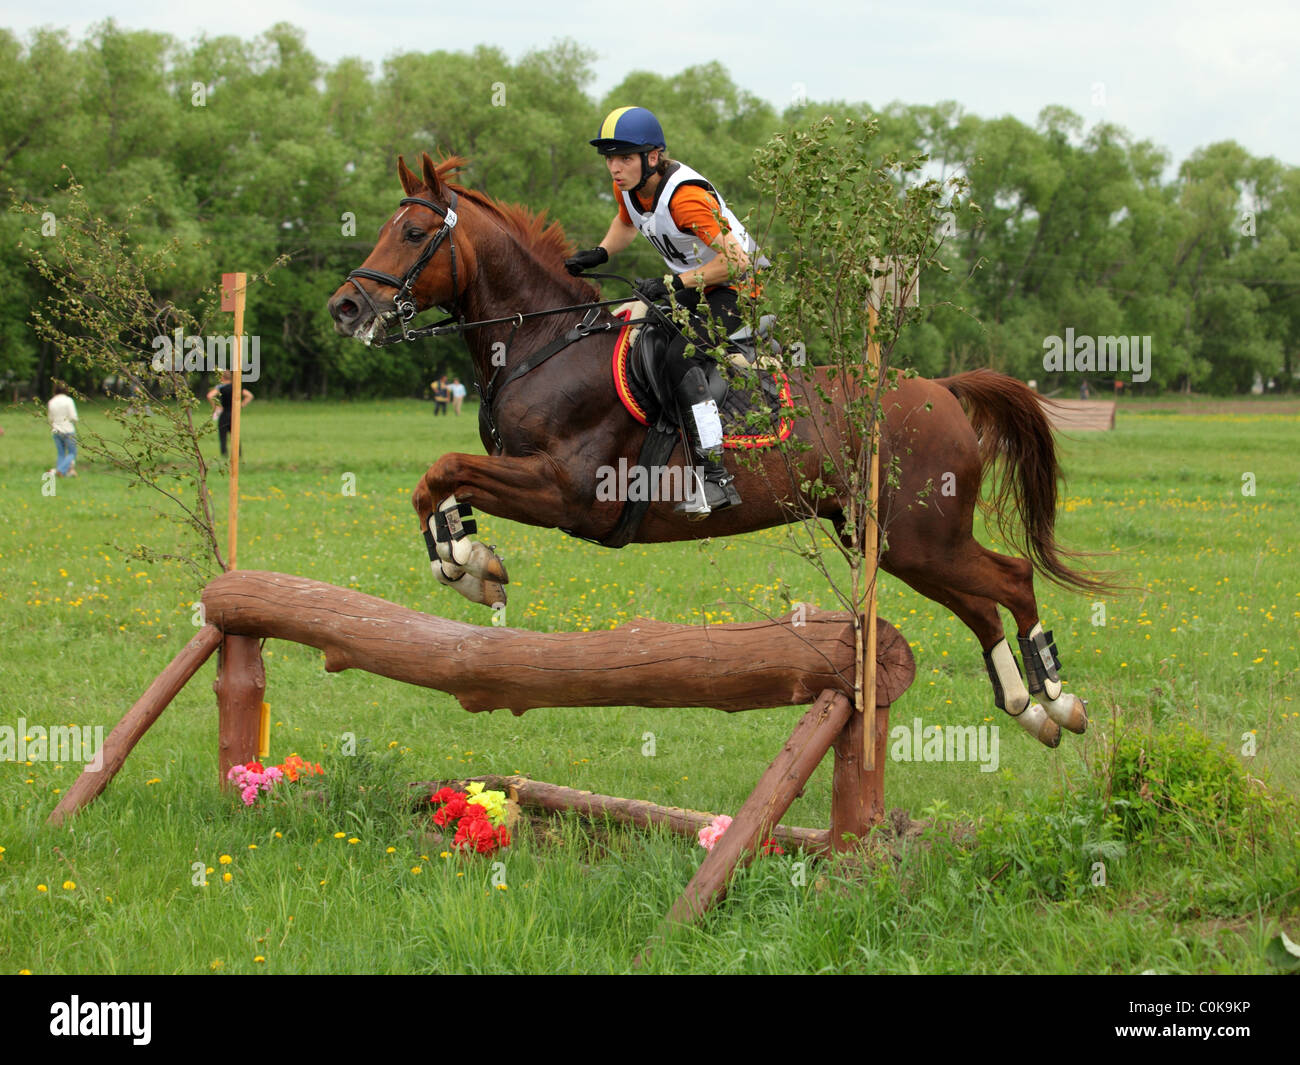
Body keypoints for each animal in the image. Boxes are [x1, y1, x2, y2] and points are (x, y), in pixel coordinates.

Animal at [327, 152, 1107, 749]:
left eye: (414, 232)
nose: (345, 308)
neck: (540, 343)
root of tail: (939, 388)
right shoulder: (529, 476)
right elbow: (439, 486)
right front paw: (469, 563)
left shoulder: (568, 491)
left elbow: (443, 473)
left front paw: (470, 562)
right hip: (888, 539)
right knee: (980, 605)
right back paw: (1028, 709)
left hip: (920, 533)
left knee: (1011, 579)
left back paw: (1058, 698)